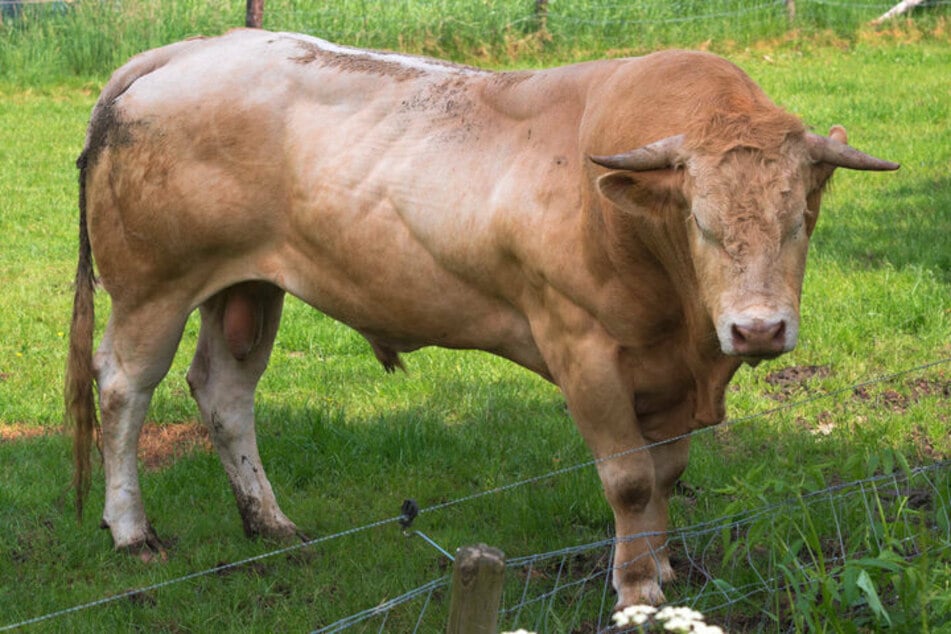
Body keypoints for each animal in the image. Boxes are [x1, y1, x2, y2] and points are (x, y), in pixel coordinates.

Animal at [67, 30, 900, 608]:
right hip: (153, 287)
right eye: (700, 222)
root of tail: (194, 47)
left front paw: (661, 563)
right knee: (125, 389)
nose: (757, 331)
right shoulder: (582, 349)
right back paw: (131, 531)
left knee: (224, 392)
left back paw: (269, 524)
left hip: (246, 287)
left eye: (800, 221)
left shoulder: (667, 369)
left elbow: (666, 472)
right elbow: (630, 479)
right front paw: (635, 589)